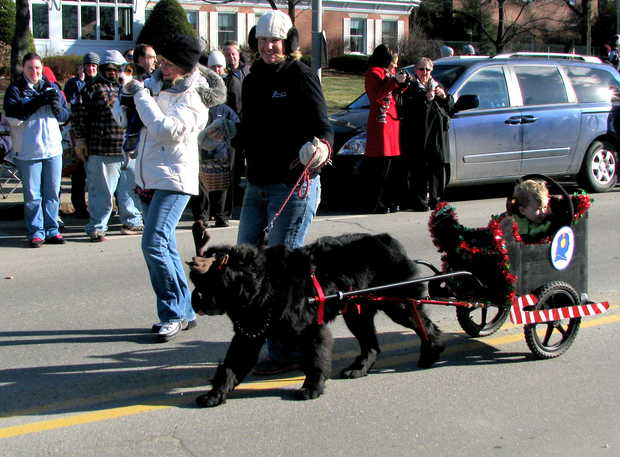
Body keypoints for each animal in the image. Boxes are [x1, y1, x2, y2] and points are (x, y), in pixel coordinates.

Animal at [188, 224, 440, 406]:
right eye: (197, 282)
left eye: (206, 284)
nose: (194, 298)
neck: (264, 284)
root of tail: (388, 239)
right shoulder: (248, 334)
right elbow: (231, 365)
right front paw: (215, 394)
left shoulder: (310, 329)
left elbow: (316, 359)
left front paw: (311, 388)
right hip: (357, 313)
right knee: (371, 345)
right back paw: (359, 369)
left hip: (398, 304)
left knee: (426, 326)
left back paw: (431, 354)